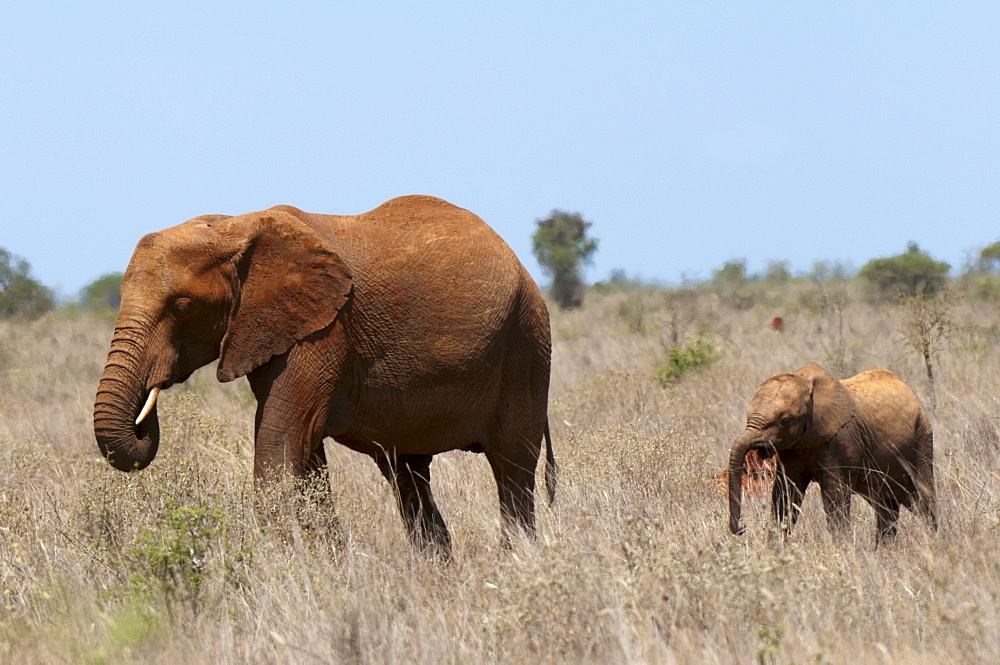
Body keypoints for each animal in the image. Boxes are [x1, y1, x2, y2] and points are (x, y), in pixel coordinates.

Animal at [94, 195, 556, 552]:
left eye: (183, 306)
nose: (146, 411)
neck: (234, 226)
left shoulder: (323, 331)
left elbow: (280, 448)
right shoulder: (275, 329)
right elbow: (304, 456)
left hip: (527, 341)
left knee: (513, 469)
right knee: (408, 475)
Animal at [728, 364, 936, 544]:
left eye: (785, 420)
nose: (742, 528)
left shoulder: (840, 440)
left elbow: (834, 495)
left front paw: (843, 549)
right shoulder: (792, 449)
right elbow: (785, 494)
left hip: (922, 438)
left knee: (923, 499)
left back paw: (933, 541)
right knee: (886, 507)